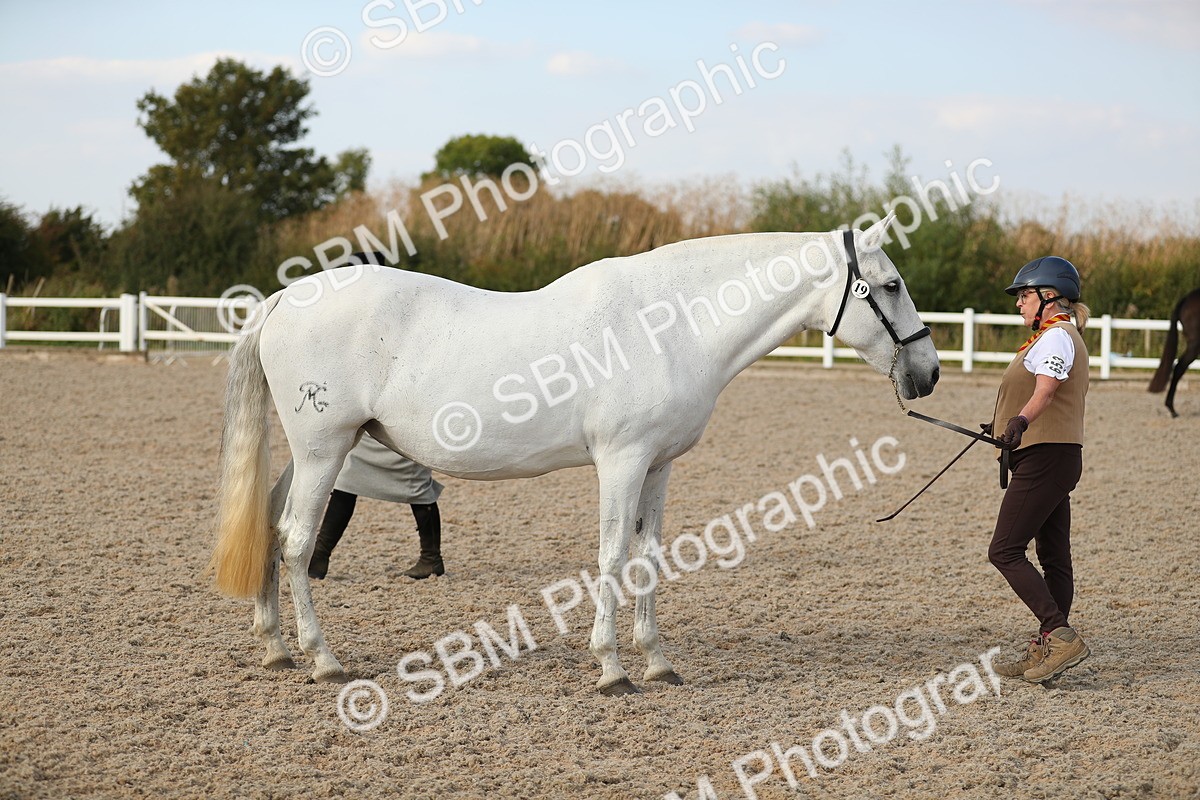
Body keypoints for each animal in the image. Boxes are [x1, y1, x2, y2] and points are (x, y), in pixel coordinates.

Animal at [208, 212, 940, 695]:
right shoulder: (621, 460)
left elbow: (649, 558)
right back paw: (322, 659)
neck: (670, 323)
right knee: (297, 541)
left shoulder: (658, 466)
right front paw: (612, 669)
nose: (928, 373)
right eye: (892, 285)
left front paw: (657, 662)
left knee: (271, 529)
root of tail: (285, 298)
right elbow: (613, 556)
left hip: (310, 454)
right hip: (324, 450)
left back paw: (274, 648)